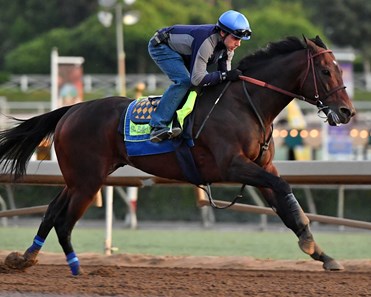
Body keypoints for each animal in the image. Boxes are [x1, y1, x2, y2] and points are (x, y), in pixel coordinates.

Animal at [0, 35, 356, 274]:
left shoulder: (262, 167)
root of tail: (71, 110)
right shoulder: (233, 165)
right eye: (326, 71)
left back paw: (25, 258)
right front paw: (312, 245)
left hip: (78, 178)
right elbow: (284, 190)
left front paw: (322, 254)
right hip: (88, 181)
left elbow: (287, 206)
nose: (347, 112)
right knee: (64, 221)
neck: (245, 103)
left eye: (341, 70)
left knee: (51, 212)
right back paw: (75, 268)